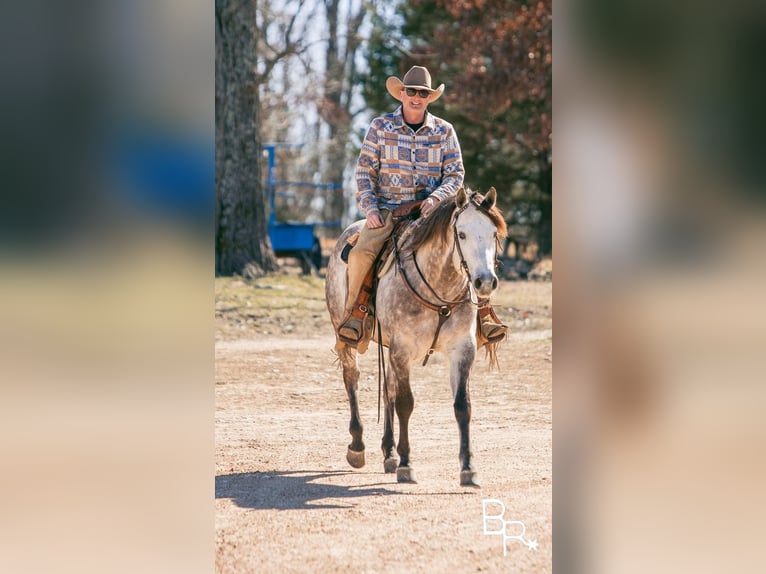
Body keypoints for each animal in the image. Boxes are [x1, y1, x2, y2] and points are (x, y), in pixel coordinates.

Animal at [326, 187, 510, 488]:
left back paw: (388, 452)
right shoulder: (402, 348)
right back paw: (357, 447)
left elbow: (462, 406)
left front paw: (468, 469)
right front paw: (406, 464)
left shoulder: (463, 349)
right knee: (352, 379)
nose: (485, 281)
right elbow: (405, 403)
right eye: (462, 234)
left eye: (494, 233)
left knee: (388, 388)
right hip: (346, 336)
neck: (439, 287)